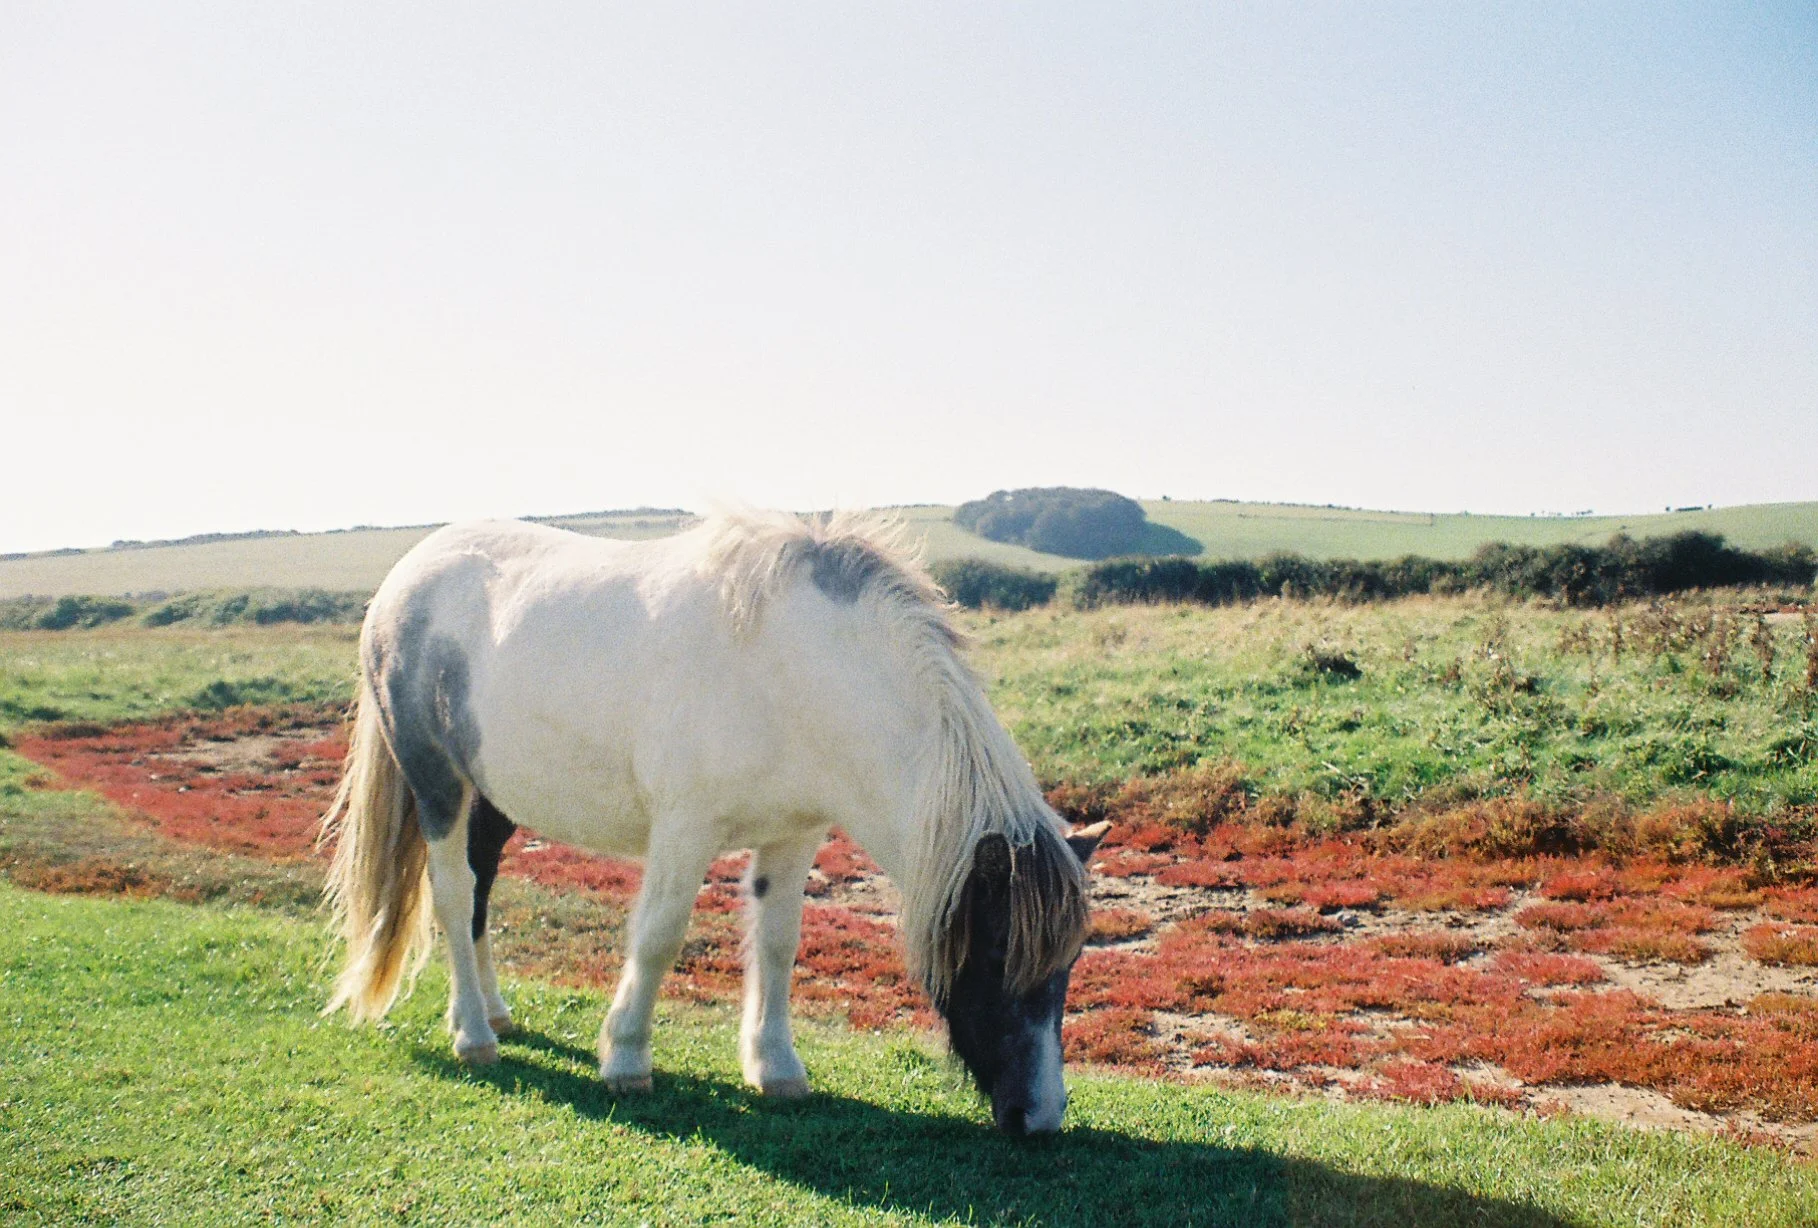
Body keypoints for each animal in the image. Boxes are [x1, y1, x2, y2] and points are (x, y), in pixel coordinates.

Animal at [319, 509, 1107, 1134]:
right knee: (455, 897)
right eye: (997, 954)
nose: (1041, 1117)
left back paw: (493, 1010)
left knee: (481, 887)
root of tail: (405, 578)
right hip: (439, 785)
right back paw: (474, 1036)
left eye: (1068, 965)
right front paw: (627, 1058)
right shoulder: (683, 830)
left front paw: (776, 1068)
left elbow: (779, 945)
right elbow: (659, 937)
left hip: (494, 796)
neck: (794, 674)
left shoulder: (793, 836)